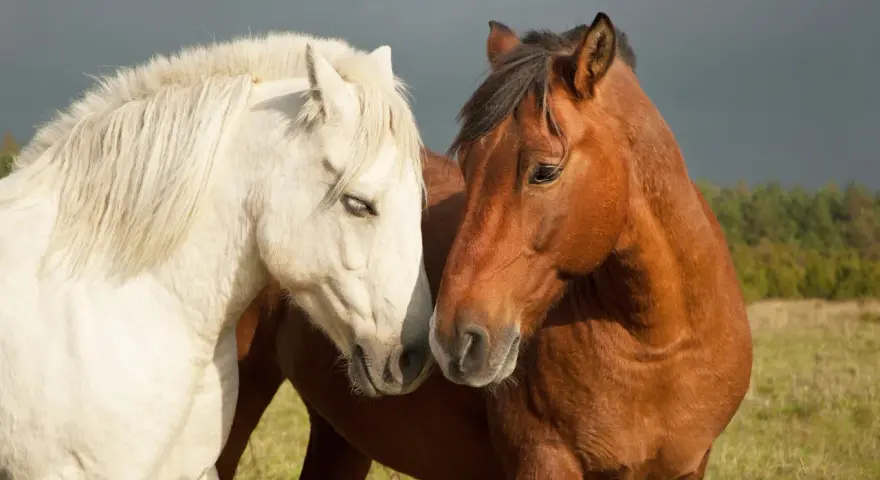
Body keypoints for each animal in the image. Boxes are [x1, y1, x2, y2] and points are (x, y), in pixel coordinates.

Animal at [219, 12, 753, 480]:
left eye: (545, 170)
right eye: (468, 165)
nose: (454, 340)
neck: (657, 346)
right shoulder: (546, 461)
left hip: (342, 433)